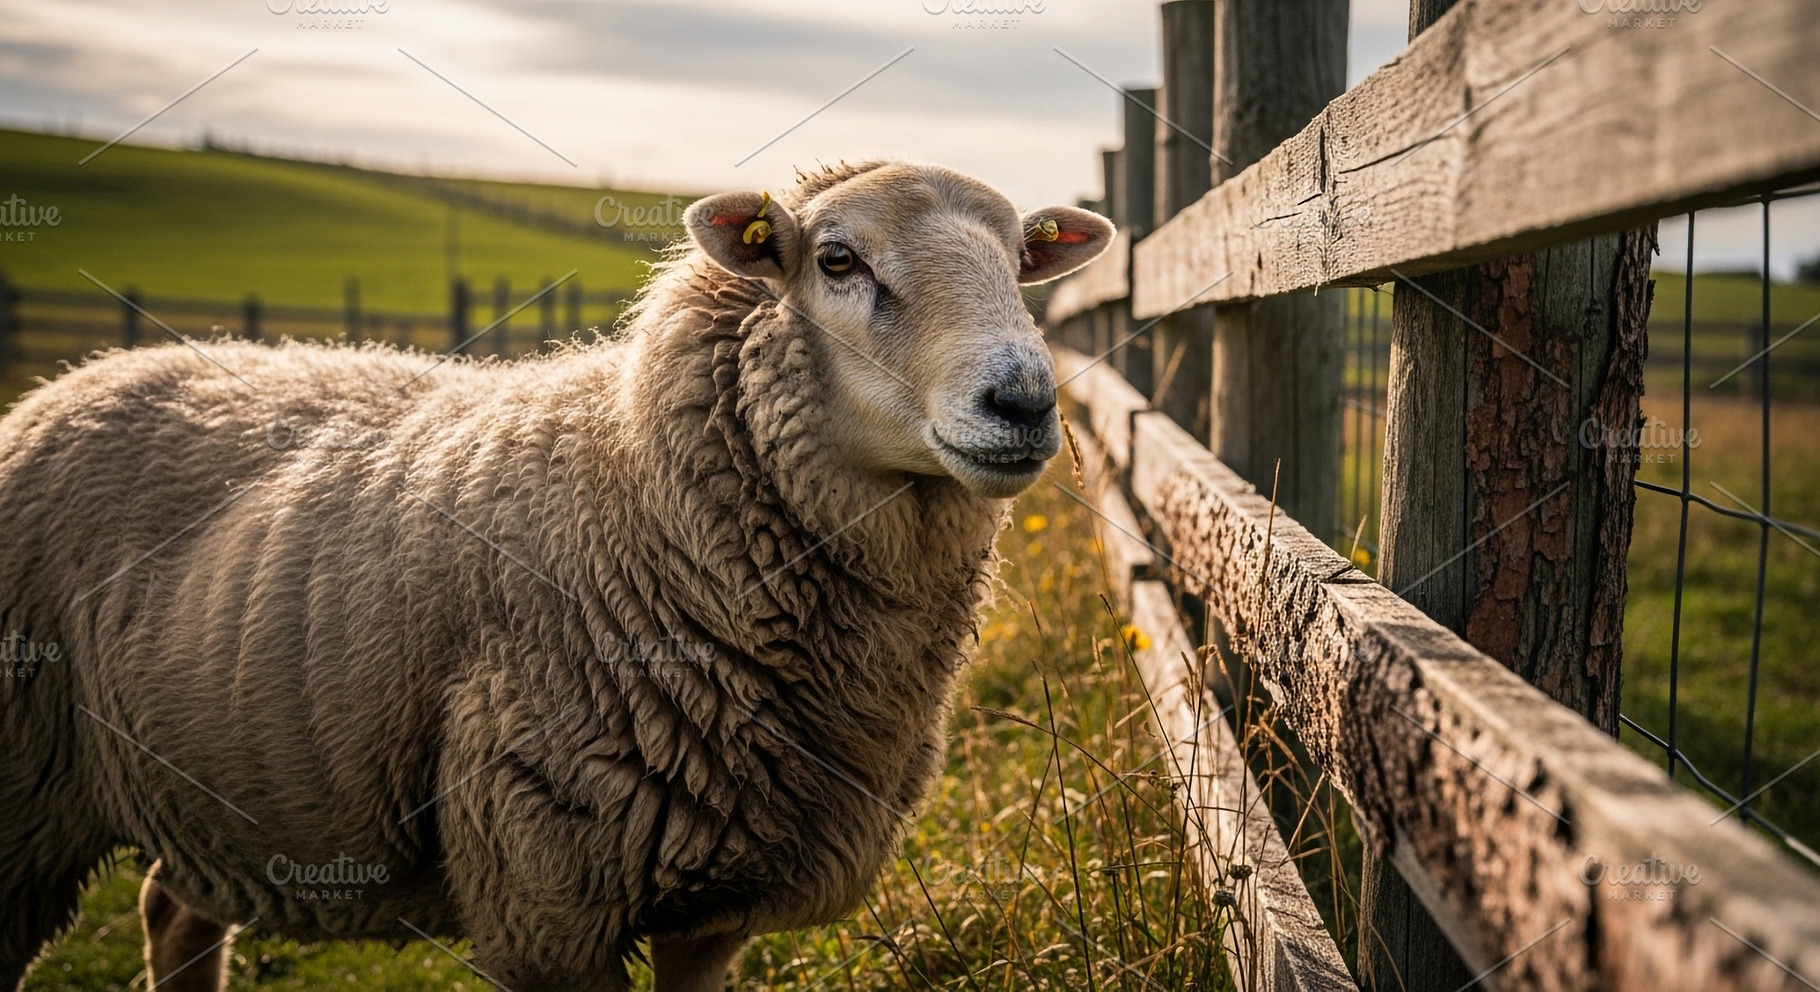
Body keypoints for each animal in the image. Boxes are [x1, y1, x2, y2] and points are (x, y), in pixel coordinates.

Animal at [0, 161, 1113, 992]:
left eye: (1020, 264)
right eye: (838, 259)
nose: (1022, 401)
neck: (636, 491)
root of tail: (73, 379)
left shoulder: (712, 910)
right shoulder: (547, 900)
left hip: (214, 784)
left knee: (171, 909)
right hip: (29, 796)